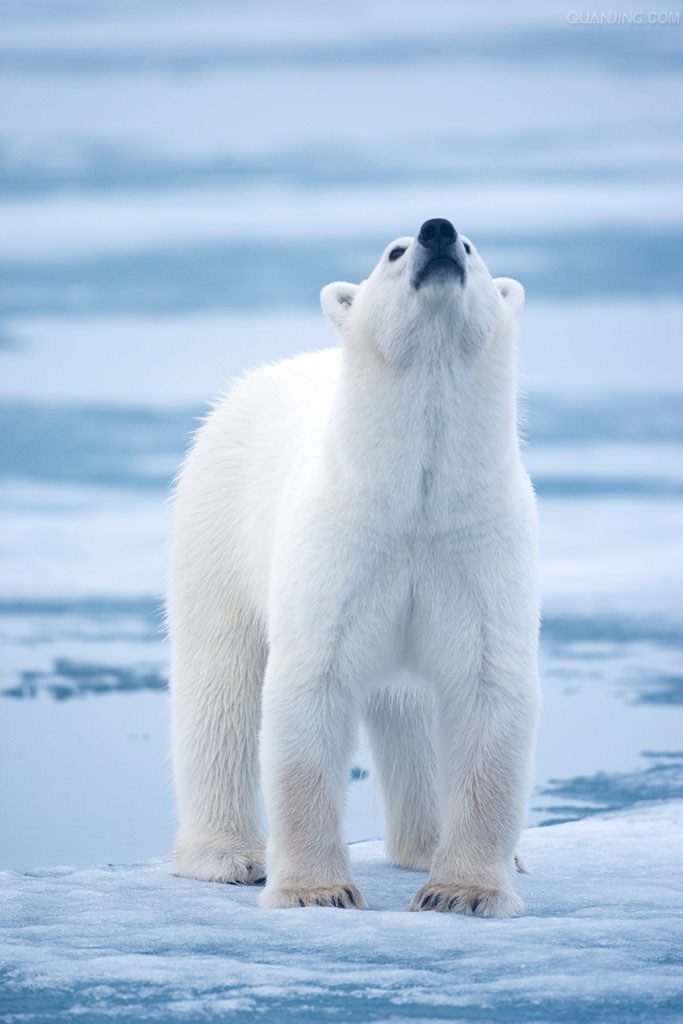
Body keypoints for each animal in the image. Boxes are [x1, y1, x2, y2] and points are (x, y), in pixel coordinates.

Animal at [169, 218, 540, 921]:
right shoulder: (338, 544)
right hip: (217, 526)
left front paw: (463, 891)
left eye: (472, 247)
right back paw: (229, 856)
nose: (438, 231)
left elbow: (486, 689)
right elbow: (311, 685)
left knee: (411, 710)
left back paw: (439, 847)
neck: (413, 500)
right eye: (394, 251)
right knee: (219, 680)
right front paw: (318, 891)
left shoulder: (477, 545)